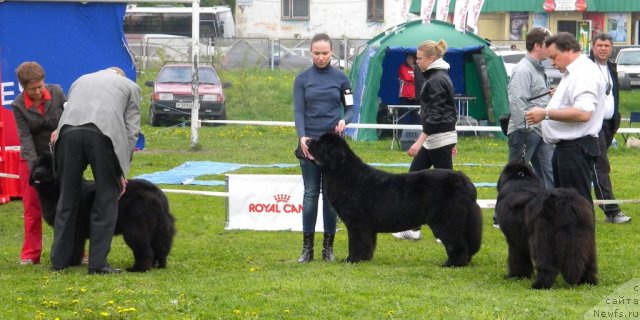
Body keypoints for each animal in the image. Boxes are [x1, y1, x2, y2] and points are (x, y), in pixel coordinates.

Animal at [29, 154, 175, 272]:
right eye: (38, 164)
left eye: (50, 167)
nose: (37, 173)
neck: (56, 190)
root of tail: (154, 191)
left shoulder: (73, 229)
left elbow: (72, 246)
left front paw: (69, 263)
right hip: (159, 228)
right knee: (160, 247)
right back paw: (158, 265)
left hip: (135, 229)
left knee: (145, 250)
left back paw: (138, 269)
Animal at [304, 131, 480, 266]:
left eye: (321, 144)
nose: (307, 140)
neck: (344, 174)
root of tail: (465, 182)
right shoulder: (365, 227)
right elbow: (367, 244)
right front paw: (364, 259)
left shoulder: (356, 223)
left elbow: (356, 242)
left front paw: (352, 260)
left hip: (445, 221)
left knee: (456, 243)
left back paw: (452, 263)